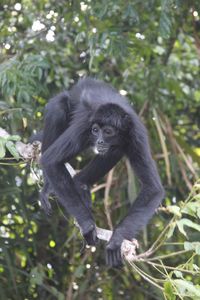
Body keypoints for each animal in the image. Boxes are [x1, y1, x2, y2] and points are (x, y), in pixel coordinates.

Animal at [38, 78, 165, 268]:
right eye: (96, 130)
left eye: (108, 131)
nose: (99, 141)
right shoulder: (84, 125)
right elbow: (50, 161)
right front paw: (88, 225)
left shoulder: (136, 134)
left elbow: (153, 188)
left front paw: (116, 240)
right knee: (59, 106)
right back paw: (49, 186)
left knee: (115, 150)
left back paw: (81, 183)